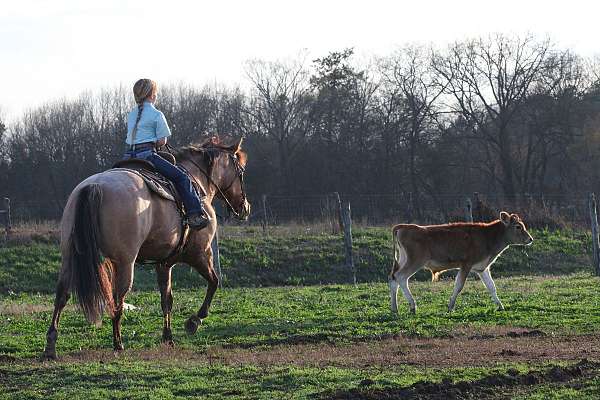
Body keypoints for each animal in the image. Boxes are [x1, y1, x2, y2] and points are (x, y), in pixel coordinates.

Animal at [41, 136, 248, 358]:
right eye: (241, 171)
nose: (245, 208)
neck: (197, 182)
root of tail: (94, 186)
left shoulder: (164, 263)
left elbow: (167, 299)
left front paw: (168, 337)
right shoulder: (200, 254)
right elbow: (214, 282)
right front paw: (194, 321)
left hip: (70, 258)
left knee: (62, 295)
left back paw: (51, 345)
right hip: (125, 263)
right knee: (117, 301)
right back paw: (118, 343)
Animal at [390, 212, 536, 316]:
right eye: (518, 227)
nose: (530, 239)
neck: (487, 237)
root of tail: (404, 226)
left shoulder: (482, 268)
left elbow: (491, 286)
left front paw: (500, 306)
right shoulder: (466, 264)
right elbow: (459, 286)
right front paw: (450, 307)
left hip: (402, 260)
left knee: (393, 278)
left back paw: (394, 308)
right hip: (415, 261)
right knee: (401, 277)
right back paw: (412, 306)